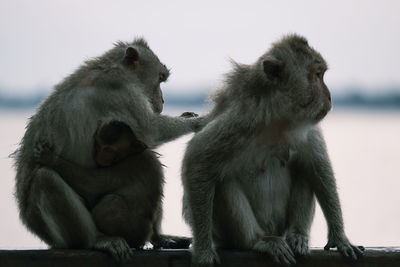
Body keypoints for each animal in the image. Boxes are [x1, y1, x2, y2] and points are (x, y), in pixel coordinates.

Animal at [12, 38, 200, 262]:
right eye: (160, 79)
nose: (162, 100)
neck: (115, 67)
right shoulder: (120, 91)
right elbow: (151, 131)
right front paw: (199, 121)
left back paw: (158, 237)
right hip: (47, 226)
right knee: (44, 179)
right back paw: (97, 240)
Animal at [183, 34, 364, 266]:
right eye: (317, 75)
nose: (330, 96)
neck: (278, 119)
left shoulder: (307, 129)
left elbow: (319, 170)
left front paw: (340, 238)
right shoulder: (241, 119)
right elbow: (197, 160)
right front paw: (204, 253)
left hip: (281, 225)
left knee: (304, 169)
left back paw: (298, 236)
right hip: (229, 233)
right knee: (221, 180)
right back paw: (257, 241)